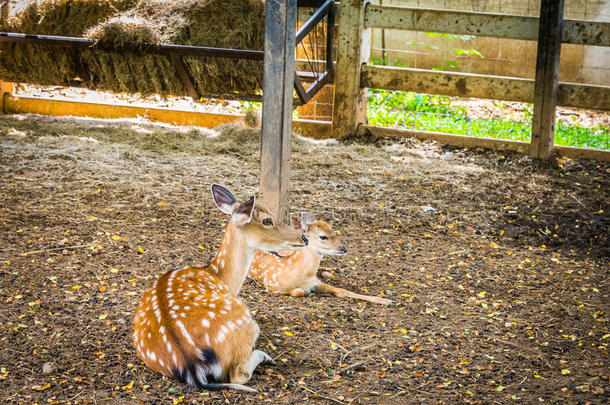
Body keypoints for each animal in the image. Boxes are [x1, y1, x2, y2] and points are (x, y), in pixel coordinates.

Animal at [131, 185, 306, 390]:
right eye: (267, 220)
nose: (304, 237)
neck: (218, 276)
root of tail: (192, 365)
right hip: (241, 317)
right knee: (239, 372)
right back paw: (266, 357)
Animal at [249, 213, 392, 304]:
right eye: (323, 236)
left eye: (335, 232)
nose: (344, 248)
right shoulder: (272, 285)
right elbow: (298, 292)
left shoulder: (315, 281)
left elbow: (341, 290)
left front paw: (386, 300)